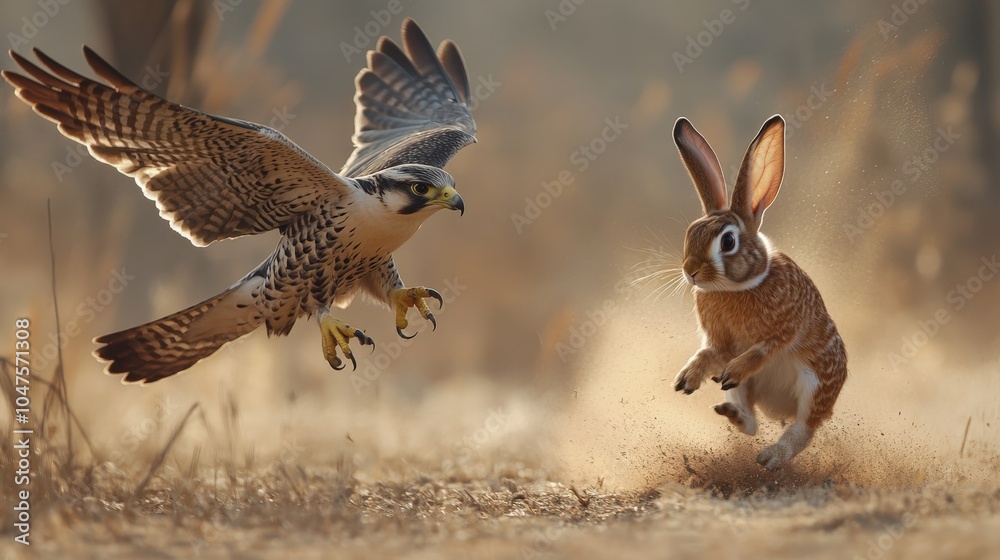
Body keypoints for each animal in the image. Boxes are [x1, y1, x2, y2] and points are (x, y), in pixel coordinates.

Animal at [670, 115, 847, 470]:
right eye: (690, 233)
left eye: (727, 242)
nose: (691, 271)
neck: (734, 288)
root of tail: (778, 410)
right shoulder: (722, 343)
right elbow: (711, 354)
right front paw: (687, 378)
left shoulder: (786, 327)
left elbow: (764, 350)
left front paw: (735, 367)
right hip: (743, 391)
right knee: (751, 424)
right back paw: (732, 414)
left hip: (814, 386)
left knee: (802, 431)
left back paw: (771, 457)